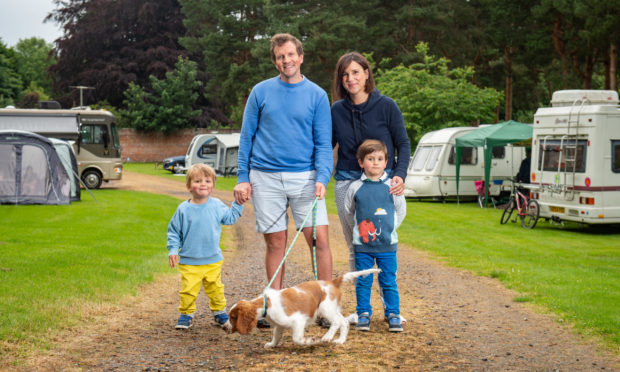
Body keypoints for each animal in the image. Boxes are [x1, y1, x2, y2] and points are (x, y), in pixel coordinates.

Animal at [229, 268, 378, 348]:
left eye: (232, 317)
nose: (225, 328)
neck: (266, 303)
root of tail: (332, 282)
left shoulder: (297, 320)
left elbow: (297, 338)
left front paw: (311, 341)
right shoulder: (279, 325)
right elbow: (276, 335)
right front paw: (271, 344)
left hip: (325, 308)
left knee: (336, 322)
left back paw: (326, 337)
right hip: (333, 308)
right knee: (344, 322)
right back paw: (340, 340)